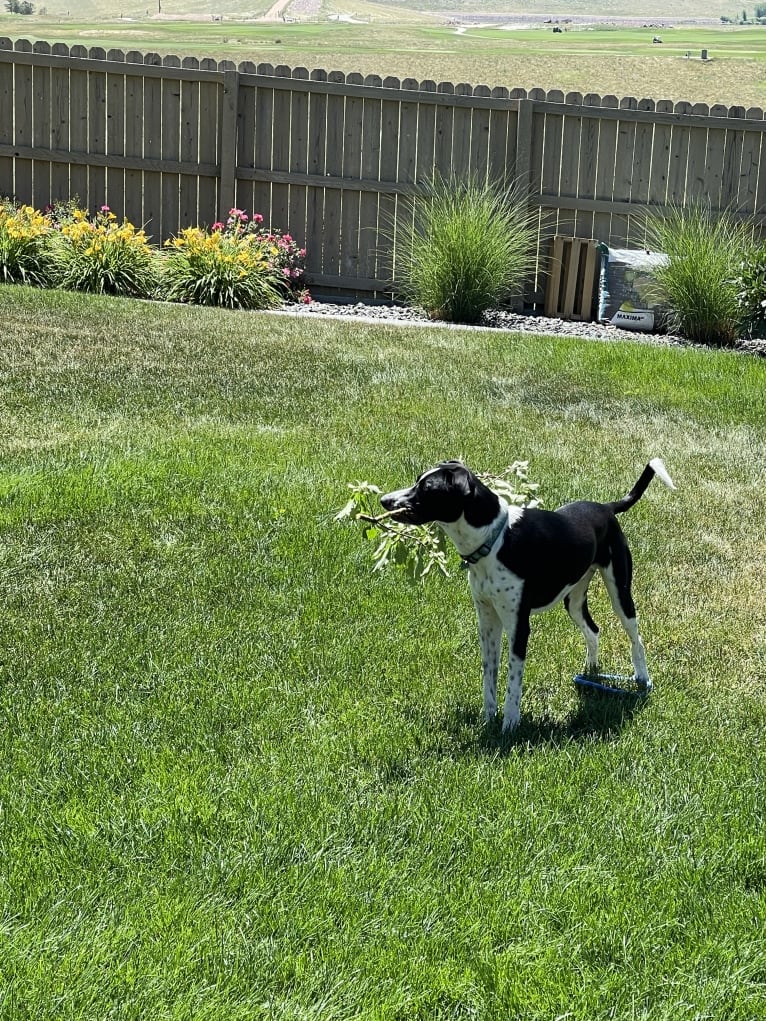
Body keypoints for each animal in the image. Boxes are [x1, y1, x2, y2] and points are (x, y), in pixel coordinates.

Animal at [381, 459, 674, 731]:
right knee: (593, 630)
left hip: (620, 593)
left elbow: (513, 681)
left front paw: (509, 724)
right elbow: (490, 675)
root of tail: (606, 508)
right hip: (574, 599)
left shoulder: (518, 625)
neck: (495, 540)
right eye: (418, 481)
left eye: (428, 489)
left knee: (636, 640)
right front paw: (488, 719)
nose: (385, 500)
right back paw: (591, 669)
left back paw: (642, 679)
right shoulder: (487, 621)